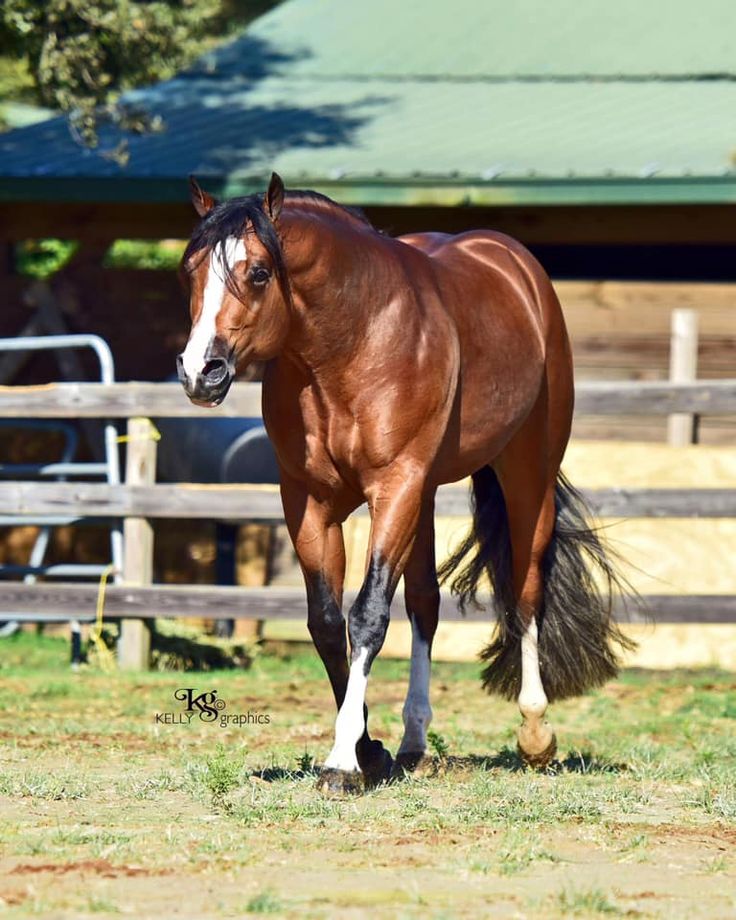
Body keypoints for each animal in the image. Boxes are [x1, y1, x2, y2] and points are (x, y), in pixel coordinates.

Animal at [178, 176, 632, 796]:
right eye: (190, 270)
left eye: (259, 272)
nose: (201, 373)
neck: (352, 343)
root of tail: (521, 272)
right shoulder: (309, 502)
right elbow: (327, 622)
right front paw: (370, 749)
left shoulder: (394, 489)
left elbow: (368, 614)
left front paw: (343, 762)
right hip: (428, 495)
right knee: (425, 604)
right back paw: (414, 742)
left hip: (526, 475)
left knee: (526, 590)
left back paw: (536, 734)